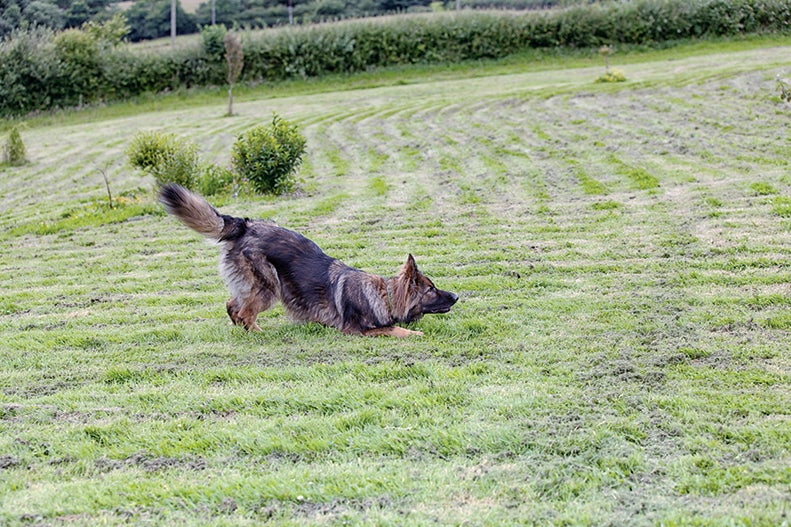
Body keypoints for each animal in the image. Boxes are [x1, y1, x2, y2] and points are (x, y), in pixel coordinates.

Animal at [158, 184, 458, 336]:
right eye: (431, 290)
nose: (456, 296)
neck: (384, 295)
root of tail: (245, 225)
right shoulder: (356, 331)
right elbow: (397, 330)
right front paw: (417, 335)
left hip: (255, 287)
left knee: (232, 305)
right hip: (269, 288)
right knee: (243, 311)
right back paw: (257, 333)